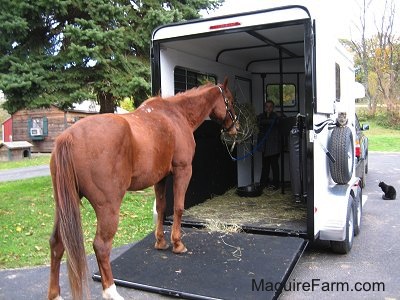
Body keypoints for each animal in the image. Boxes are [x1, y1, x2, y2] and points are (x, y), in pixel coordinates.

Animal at [47, 78, 238, 300]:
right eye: (230, 100)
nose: (235, 128)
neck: (176, 115)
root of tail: (68, 137)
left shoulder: (160, 178)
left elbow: (162, 208)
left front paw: (161, 242)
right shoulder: (183, 170)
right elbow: (178, 207)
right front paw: (177, 243)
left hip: (64, 206)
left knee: (56, 243)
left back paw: (55, 294)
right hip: (108, 208)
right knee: (101, 246)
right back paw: (111, 291)